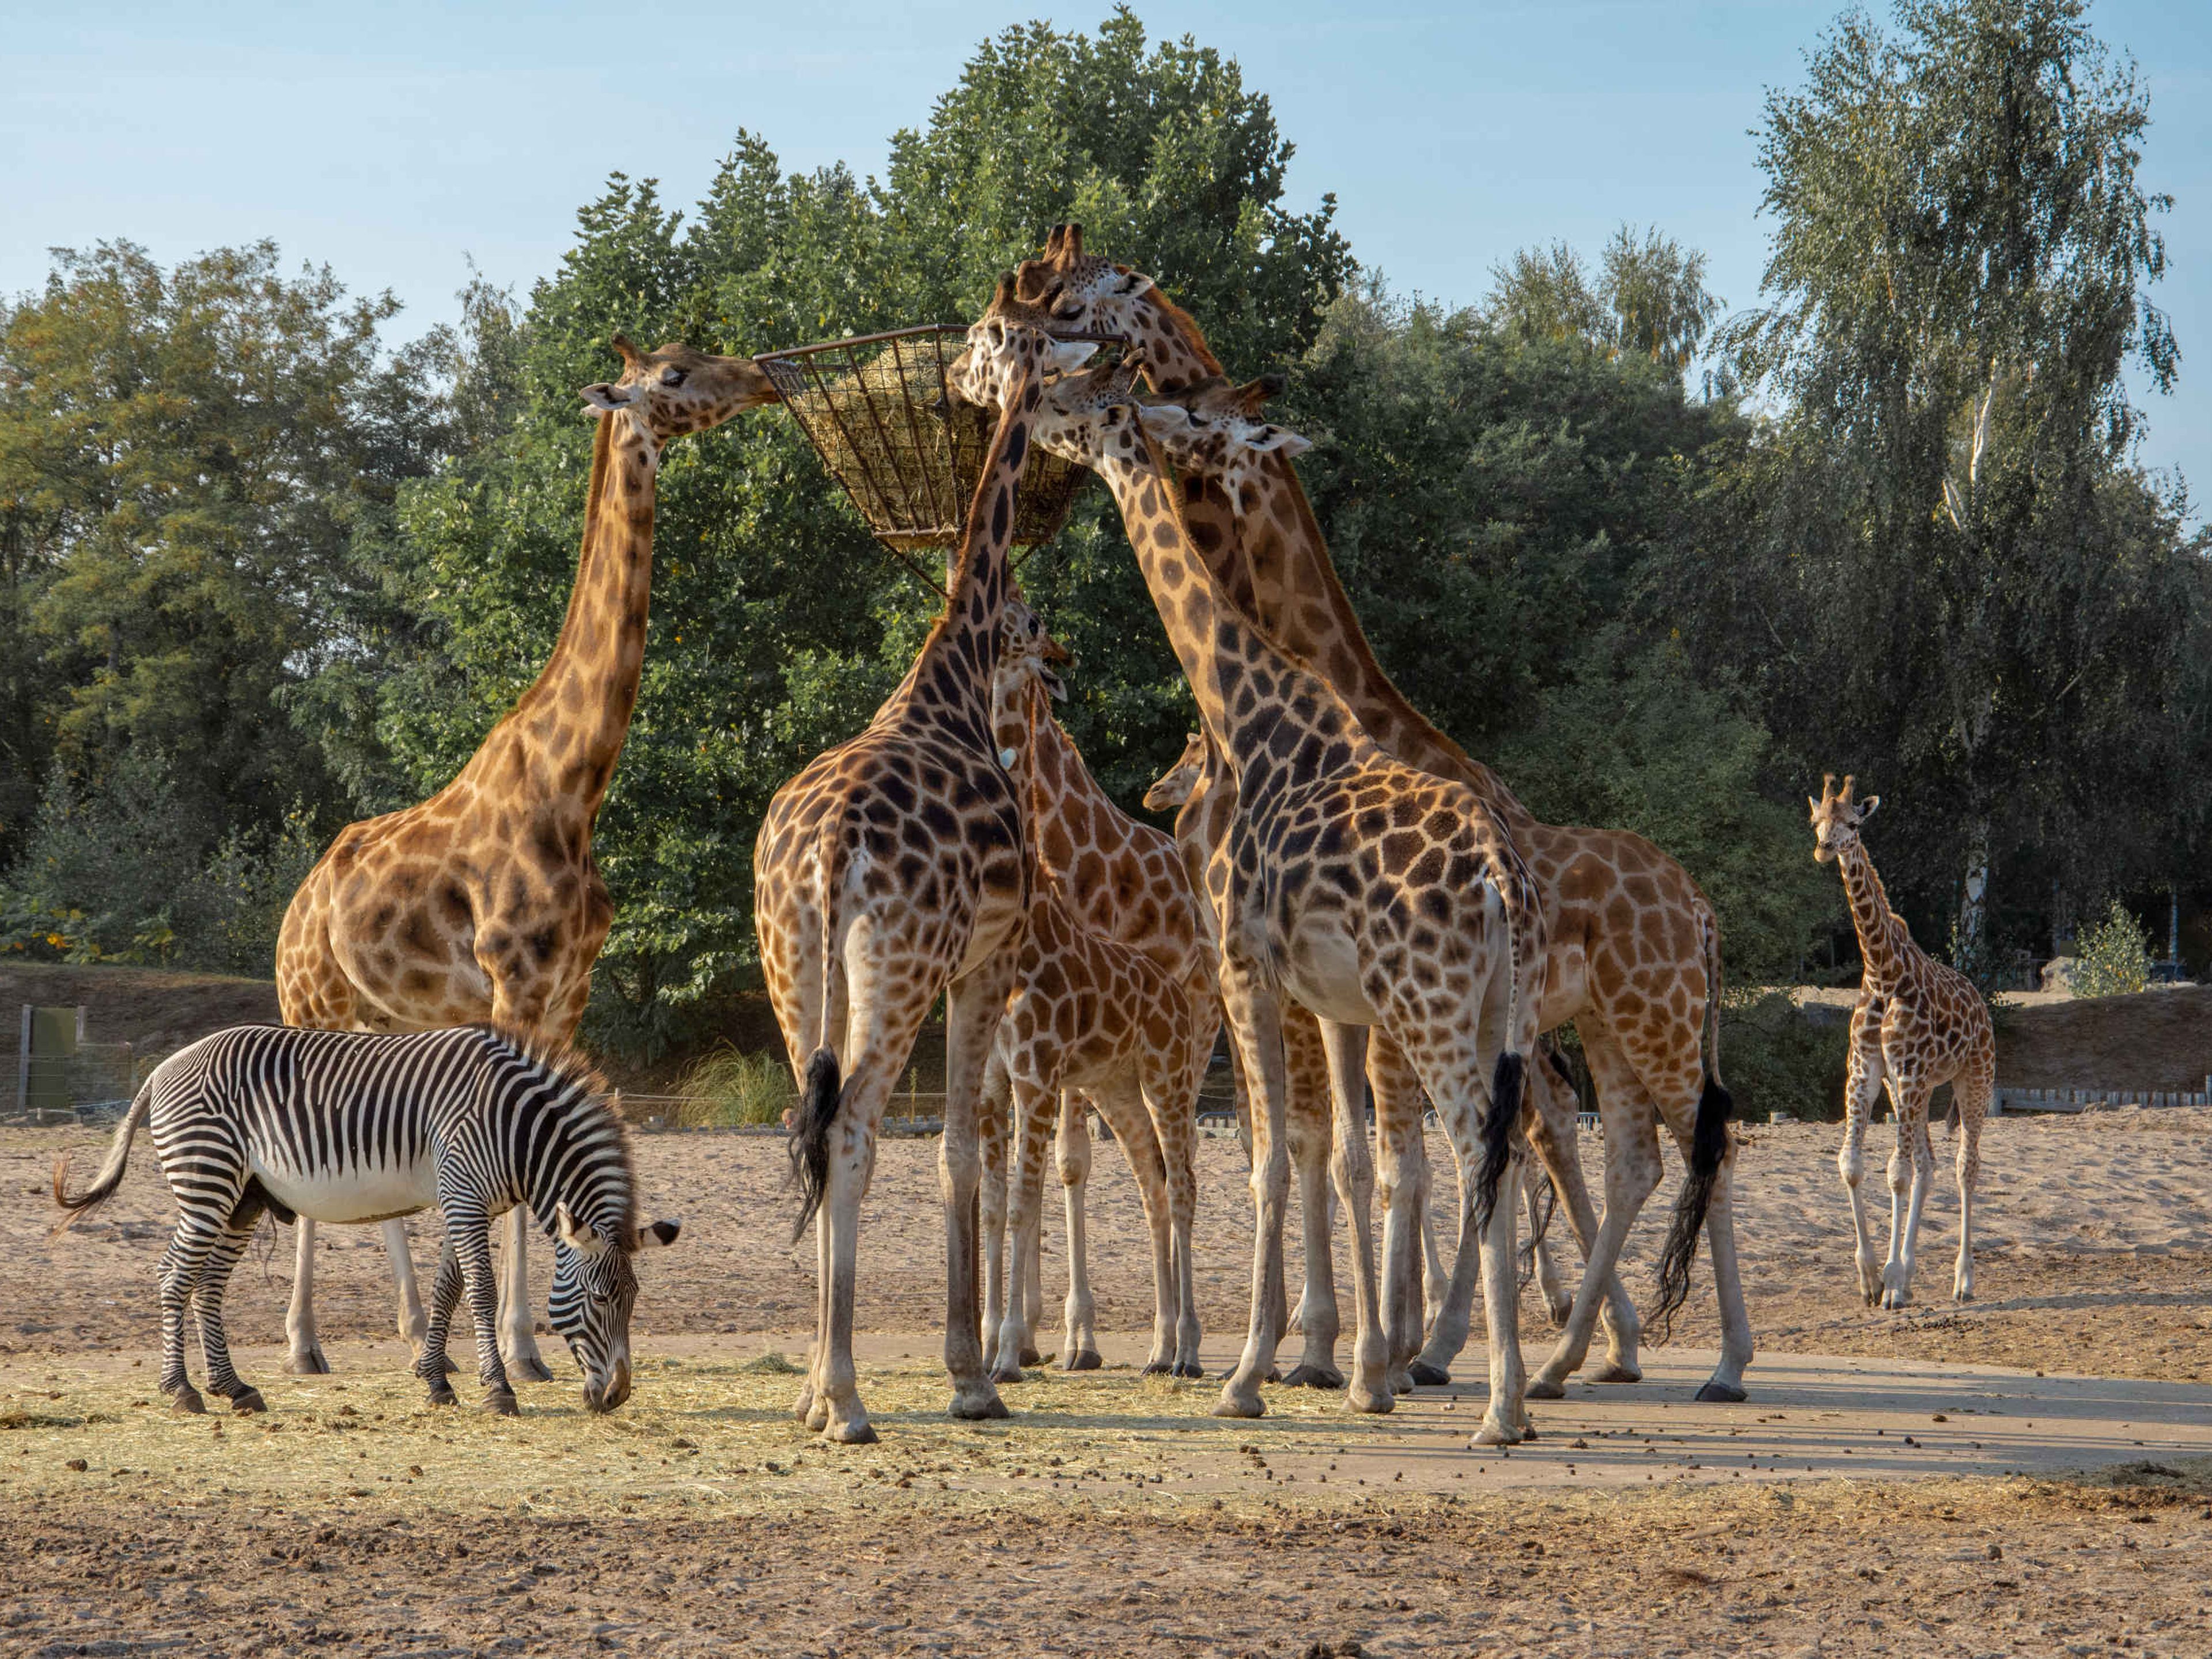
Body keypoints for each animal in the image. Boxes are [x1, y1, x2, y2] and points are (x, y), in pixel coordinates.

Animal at [53, 1023, 679, 1417]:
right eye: (601, 1299)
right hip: (207, 1180)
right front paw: (499, 1391)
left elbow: (449, 1289)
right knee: (174, 1277)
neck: (517, 1126)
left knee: (207, 1286)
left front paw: (436, 1383)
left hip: (244, 1198)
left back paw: (234, 1389)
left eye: (633, 1300)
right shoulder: (463, 1194)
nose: (618, 1397)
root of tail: (164, 1069)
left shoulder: (464, 1199)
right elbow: (480, 1291)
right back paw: (182, 1391)